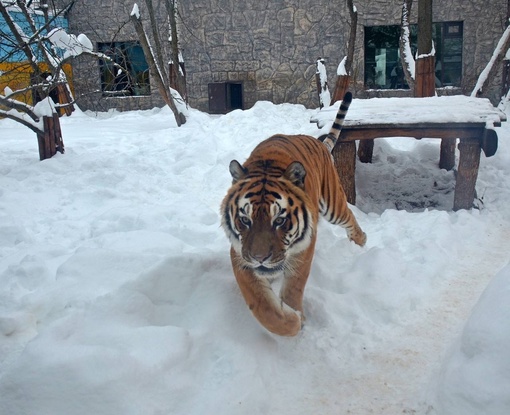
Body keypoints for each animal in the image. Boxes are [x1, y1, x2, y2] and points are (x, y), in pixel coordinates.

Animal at [221, 92, 364, 338]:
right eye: (245, 220)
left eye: (279, 220)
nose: (260, 258)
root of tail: (319, 142)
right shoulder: (239, 252)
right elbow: (261, 304)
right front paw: (289, 320)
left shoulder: (303, 248)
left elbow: (294, 287)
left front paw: (297, 319)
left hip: (333, 204)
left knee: (350, 217)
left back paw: (360, 243)